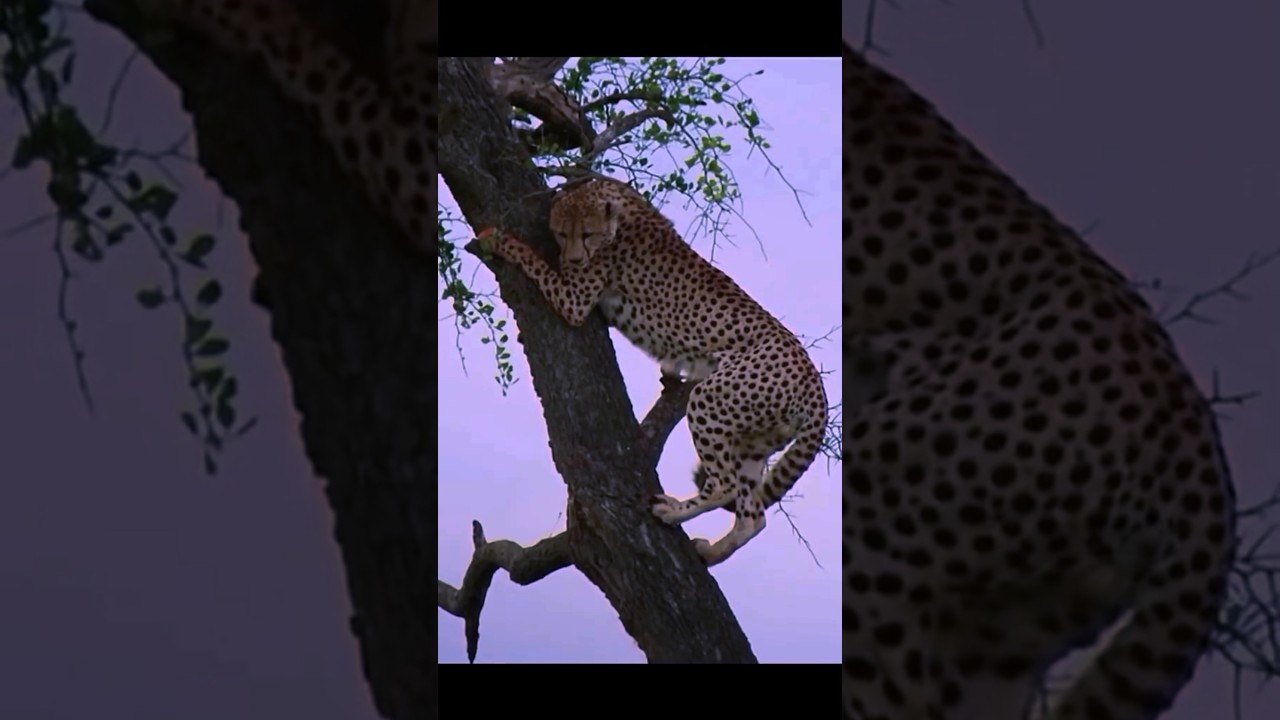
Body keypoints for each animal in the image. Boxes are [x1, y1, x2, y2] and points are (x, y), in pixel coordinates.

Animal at [477, 176, 830, 566]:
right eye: (560, 232)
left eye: (586, 234)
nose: (574, 257)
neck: (616, 212)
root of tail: (816, 385)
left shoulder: (575, 302)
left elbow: (534, 261)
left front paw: (498, 240)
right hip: (754, 439)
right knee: (752, 515)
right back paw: (712, 551)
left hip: (712, 397)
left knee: (724, 485)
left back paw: (673, 512)